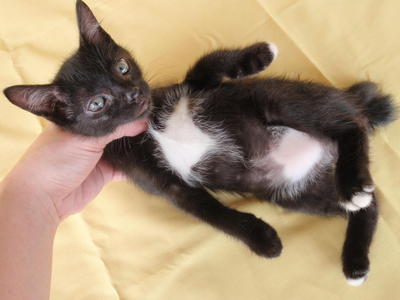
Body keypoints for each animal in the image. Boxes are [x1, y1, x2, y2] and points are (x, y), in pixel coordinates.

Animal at [3, 0, 396, 286]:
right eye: (97, 103)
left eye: (122, 67)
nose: (133, 94)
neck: (148, 126)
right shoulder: (162, 182)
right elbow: (211, 212)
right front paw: (262, 239)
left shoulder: (196, 89)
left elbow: (205, 64)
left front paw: (260, 54)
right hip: (300, 193)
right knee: (368, 203)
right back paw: (356, 256)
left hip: (277, 100)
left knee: (349, 127)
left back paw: (353, 184)